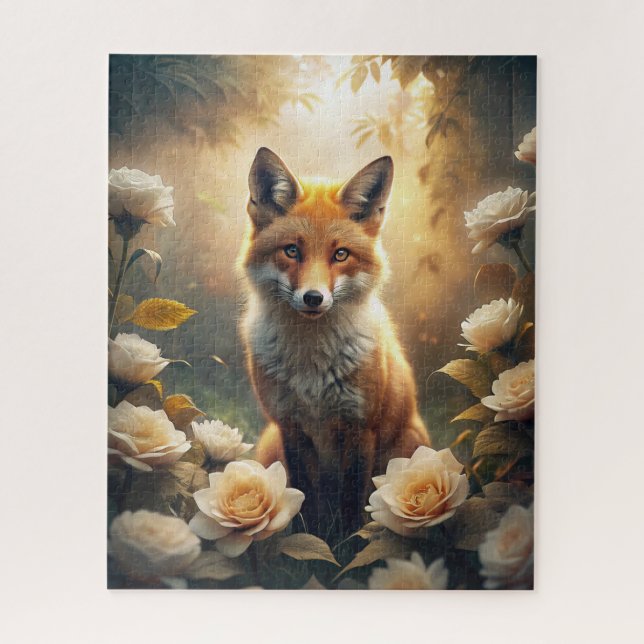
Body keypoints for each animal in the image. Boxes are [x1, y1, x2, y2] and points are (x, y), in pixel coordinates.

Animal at [239, 147, 430, 536]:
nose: (313, 298)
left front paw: (351, 544)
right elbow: (304, 499)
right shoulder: (291, 427)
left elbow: (354, 506)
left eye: (340, 254)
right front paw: (307, 542)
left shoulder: (361, 428)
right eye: (291, 251)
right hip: (270, 446)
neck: (312, 367)